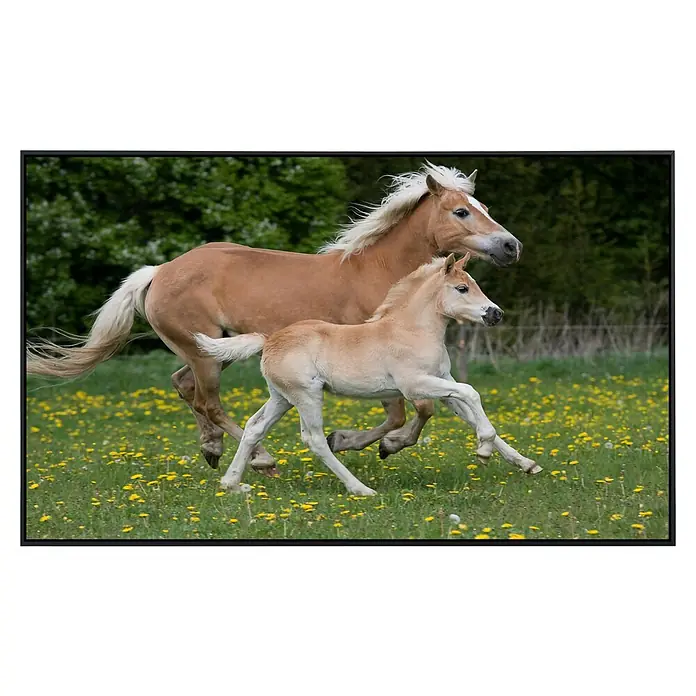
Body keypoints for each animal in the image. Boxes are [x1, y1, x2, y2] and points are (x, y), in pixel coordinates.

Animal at [26, 162, 523, 476]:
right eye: (461, 211)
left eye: (486, 209)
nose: (511, 246)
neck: (380, 274)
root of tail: (159, 271)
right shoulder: (386, 369)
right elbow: (413, 412)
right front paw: (365, 444)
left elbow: (447, 407)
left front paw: (520, 461)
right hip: (206, 354)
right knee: (208, 401)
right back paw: (260, 459)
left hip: (213, 349)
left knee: (183, 386)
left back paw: (213, 450)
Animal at [195, 254, 540, 495]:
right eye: (462, 288)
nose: (496, 314)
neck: (411, 330)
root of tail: (269, 340)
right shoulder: (416, 386)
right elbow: (472, 392)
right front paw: (483, 450)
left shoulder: (444, 382)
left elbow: (470, 410)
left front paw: (525, 463)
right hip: (306, 395)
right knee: (314, 439)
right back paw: (360, 488)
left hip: (281, 397)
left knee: (255, 427)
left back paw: (232, 484)